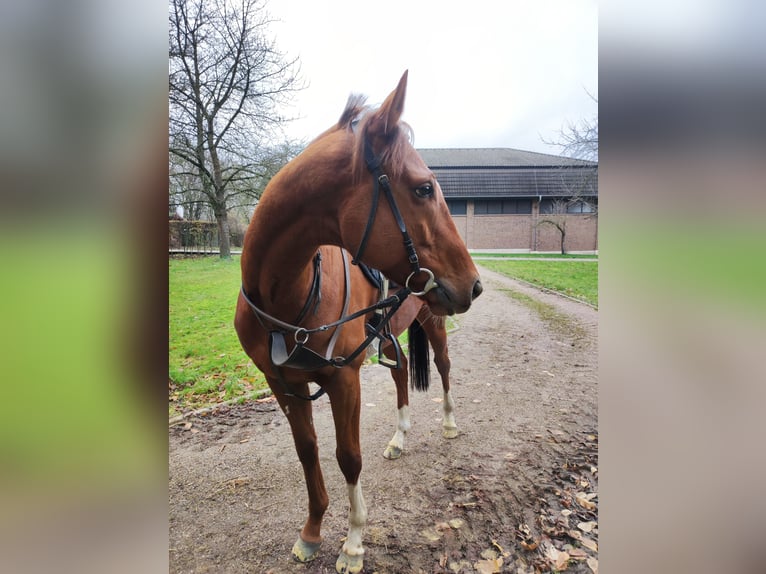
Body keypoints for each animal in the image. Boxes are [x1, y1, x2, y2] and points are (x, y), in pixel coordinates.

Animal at [237, 73, 484, 574]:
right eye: (424, 189)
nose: (474, 284)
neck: (285, 298)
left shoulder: (344, 379)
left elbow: (348, 457)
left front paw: (352, 542)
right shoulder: (282, 383)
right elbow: (308, 451)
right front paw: (312, 531)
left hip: (434, 323)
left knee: (444, 368)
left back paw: (449, 424)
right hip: (389, 338)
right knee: (403, 370)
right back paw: (400, 436)